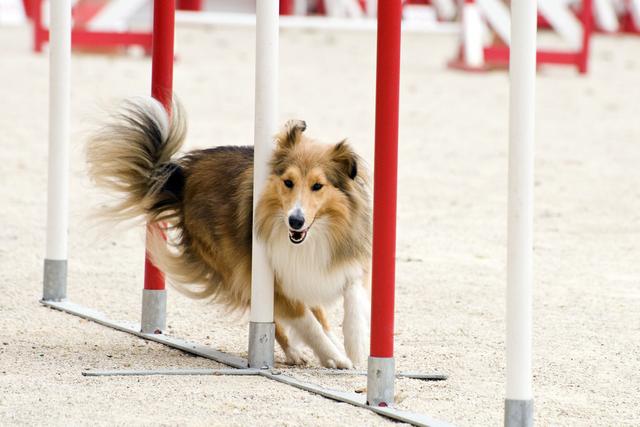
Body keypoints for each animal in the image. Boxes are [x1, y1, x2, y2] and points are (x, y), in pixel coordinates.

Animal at [87, 98, 372, 370]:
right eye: (288, 182)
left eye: (318, 186)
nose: (296, 221)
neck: (311, 237)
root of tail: (183, 177)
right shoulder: (271, 278)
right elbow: (306, 321)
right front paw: (334, 356)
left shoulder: (332, 264)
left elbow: (352, 293)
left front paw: (355, 343)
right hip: (234, 265)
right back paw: (296, 351)